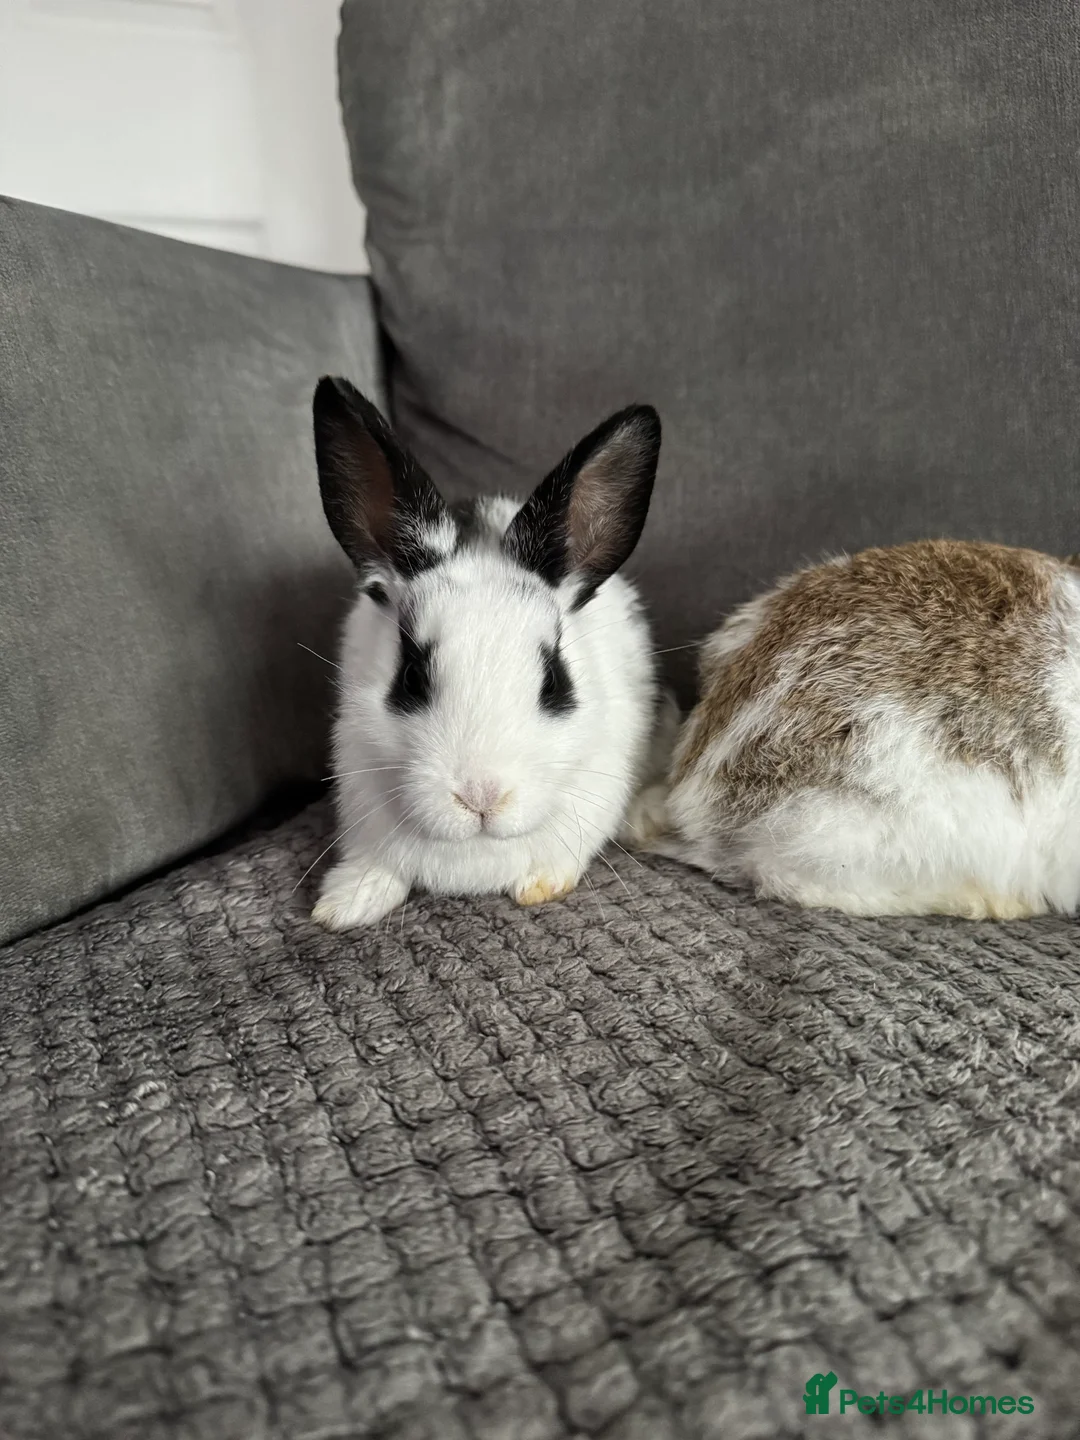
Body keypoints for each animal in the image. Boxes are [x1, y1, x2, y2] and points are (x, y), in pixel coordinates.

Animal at [309, 376, 663, 931]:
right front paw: (344, 905)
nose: (481, 798)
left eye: (554, 681)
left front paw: (541, 885)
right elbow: (378, 866)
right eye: (411, 678)